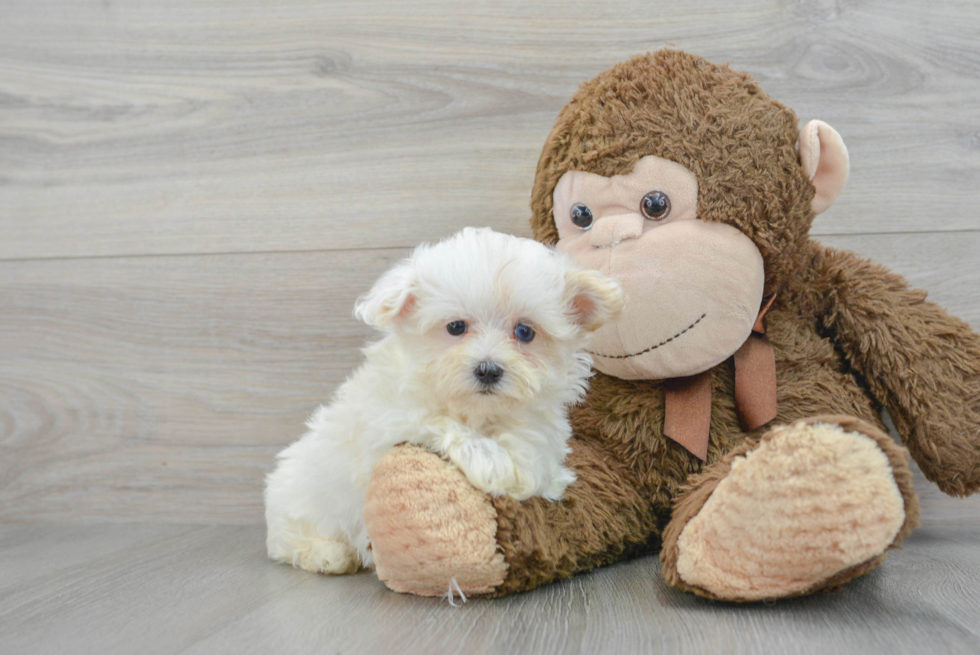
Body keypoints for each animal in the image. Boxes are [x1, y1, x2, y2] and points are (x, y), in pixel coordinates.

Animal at [264, 228, 624, 576]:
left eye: (525, 332)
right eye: (455, 327)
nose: (488, 370)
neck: (478, 412)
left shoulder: (537, 420)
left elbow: (532, 446)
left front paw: (538, 475)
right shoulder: (394, 417)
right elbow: (442, 424)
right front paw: (497, 467)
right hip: (300, 504)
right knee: (290, 542)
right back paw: (328, 555)